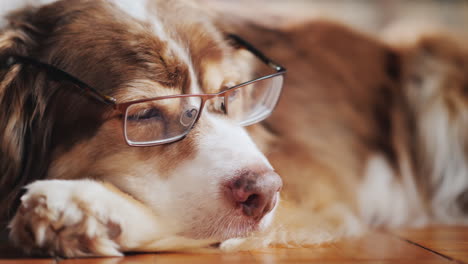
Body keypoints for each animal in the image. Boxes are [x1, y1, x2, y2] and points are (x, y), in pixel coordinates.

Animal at [0, 0, 468, 258]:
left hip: (433, 55)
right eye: (145, 114)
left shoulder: (314, 199)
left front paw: (89, 206)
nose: (265, 192)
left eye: (228, 97)